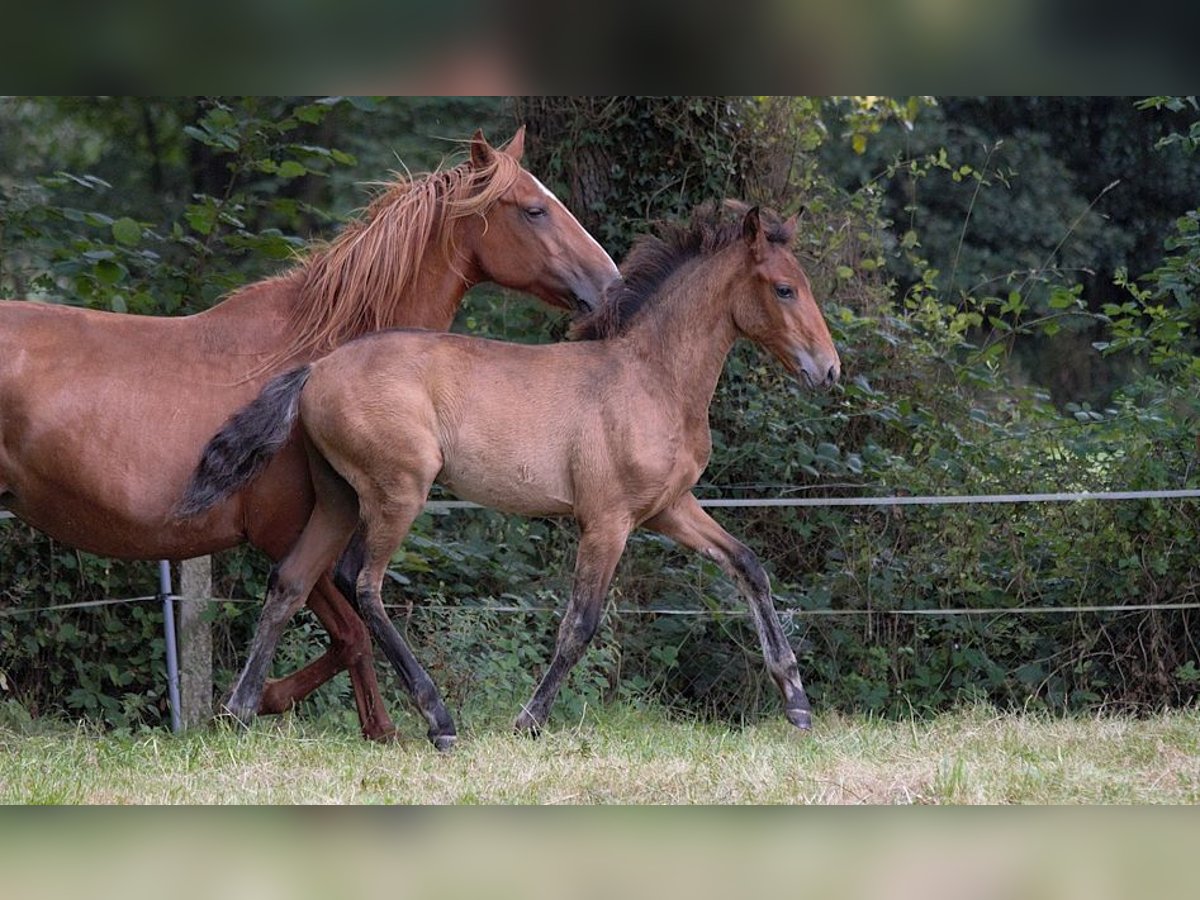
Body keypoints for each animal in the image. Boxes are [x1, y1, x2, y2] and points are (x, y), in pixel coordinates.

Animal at [0, 130, 619, 744]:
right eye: (534, 209)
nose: (611, 284)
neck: (322, 357)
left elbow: (341, 629)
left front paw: (349, 722)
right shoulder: (286, 530)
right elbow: (349, 629)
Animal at [177, 202, 840, 748]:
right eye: (784, 288)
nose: (828, 369)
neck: (651, 379)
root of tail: (317, 368)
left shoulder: (669, 510)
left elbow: (749, 566)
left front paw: (797, 704)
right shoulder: (607, 522)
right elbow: (579, 625)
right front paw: (530, 720)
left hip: (339, 498)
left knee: (289, 582)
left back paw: (239, 709)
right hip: (399, 492)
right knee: (362, 582)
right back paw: (439, 721)